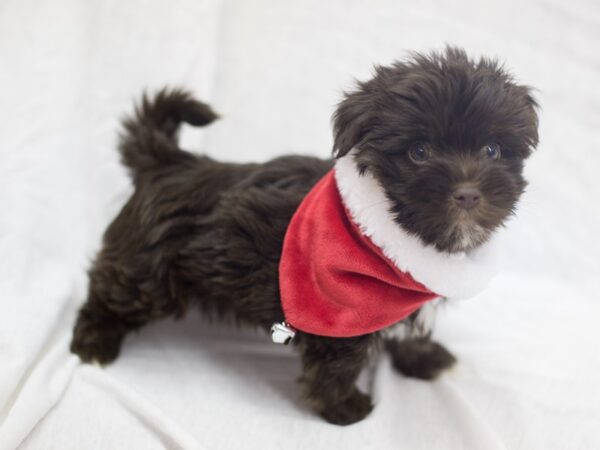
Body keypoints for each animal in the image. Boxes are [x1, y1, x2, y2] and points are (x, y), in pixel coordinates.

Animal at [70, 47, 540, 428]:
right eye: (418, 153)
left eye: (492, 151)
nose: (468, 192)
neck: (383, 238)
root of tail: (169, 162)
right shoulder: (340, 314)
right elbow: (338, 364)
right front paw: (344, 408)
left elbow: (410, 328)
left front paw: (422, 358)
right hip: (148, 271)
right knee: (110, 290)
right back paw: (92, 341)